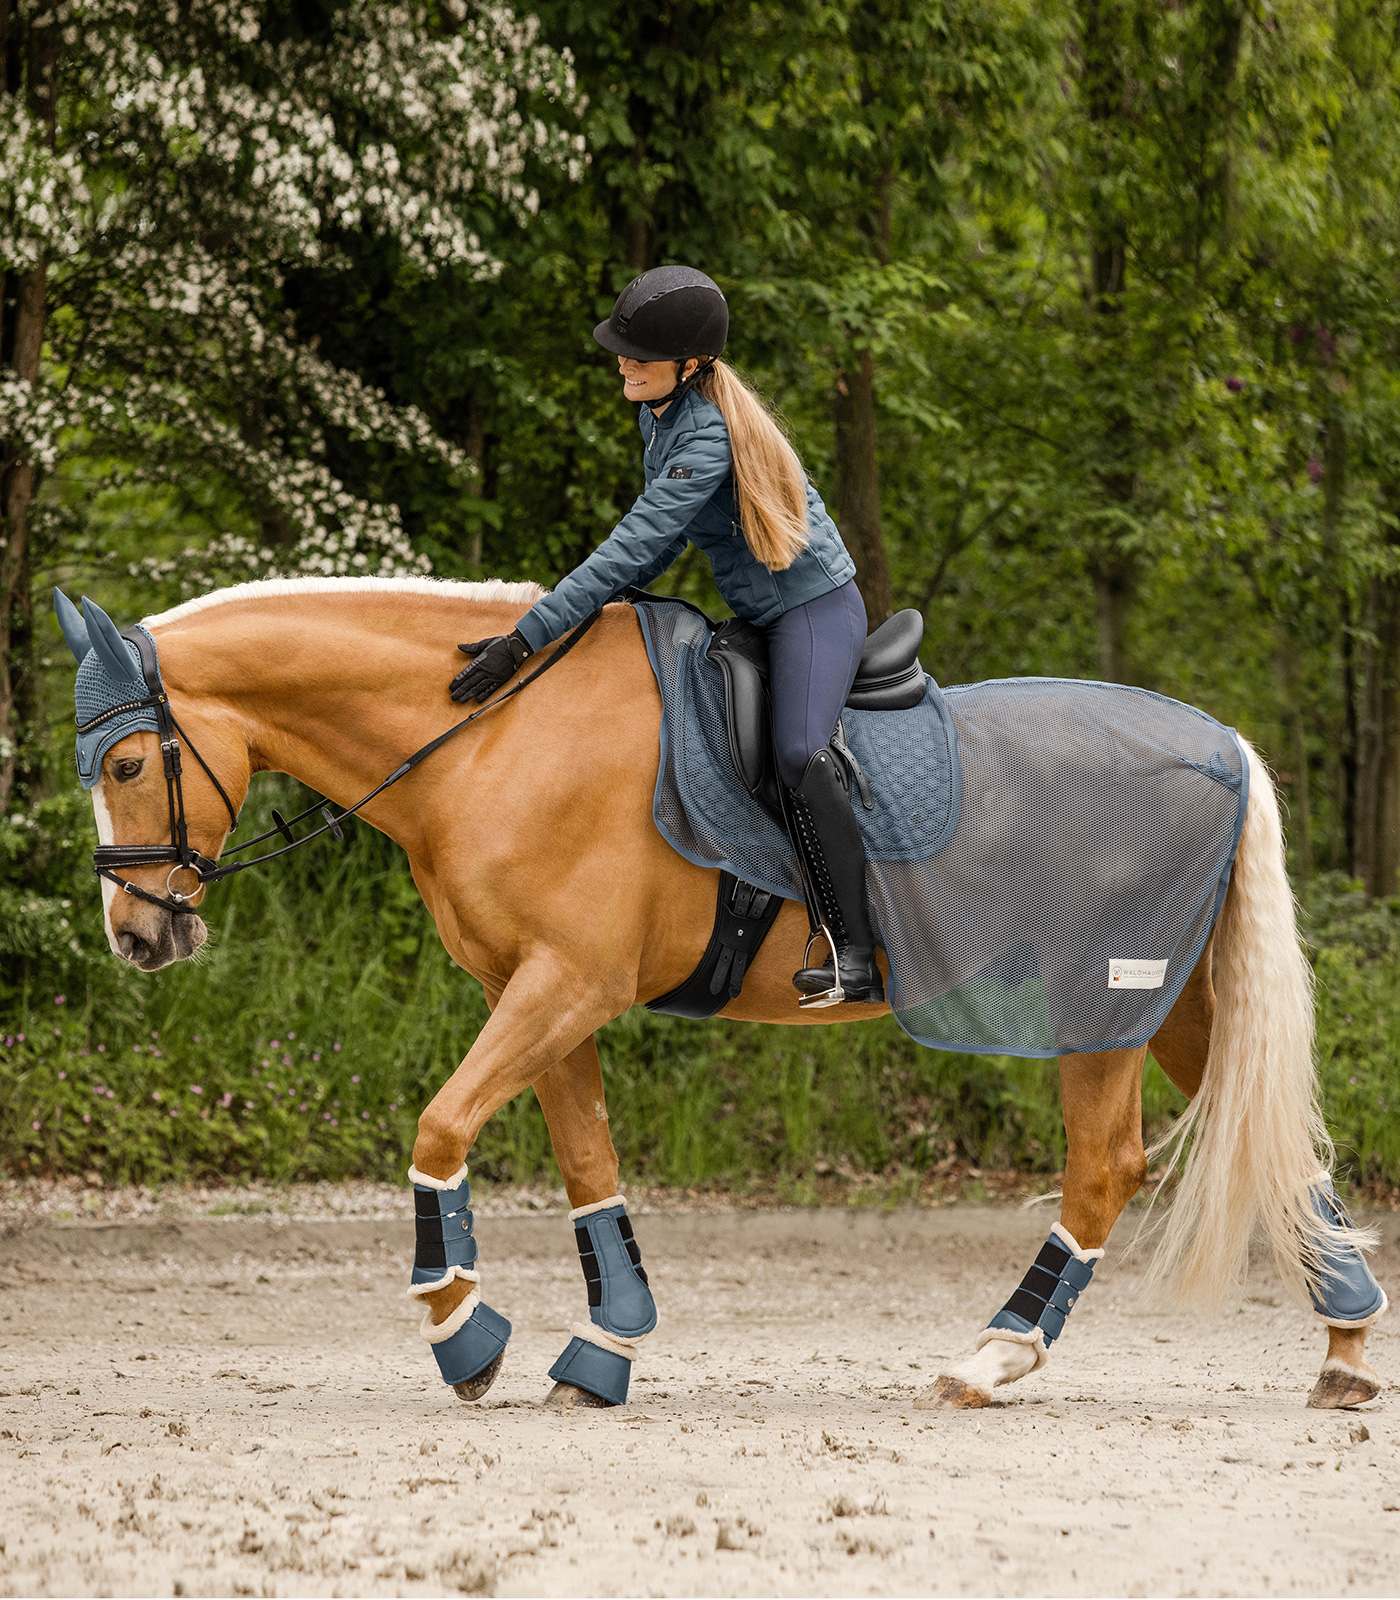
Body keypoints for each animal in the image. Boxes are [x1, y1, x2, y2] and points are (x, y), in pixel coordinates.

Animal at [60, 579, 1382, 1414]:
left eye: (124, 762)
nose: (136, 935)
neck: (491, 736)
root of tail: (1219, 742)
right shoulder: (543, 995)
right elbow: (588, 1169)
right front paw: (601, 1351)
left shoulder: (563, 985)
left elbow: (438, 1127)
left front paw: (460, 1328)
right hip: (1181, 1002)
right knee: (1284, 1150)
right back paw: (1346, 1346)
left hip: (1101, 1006)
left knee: (1102, 1166)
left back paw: (992, 1359)